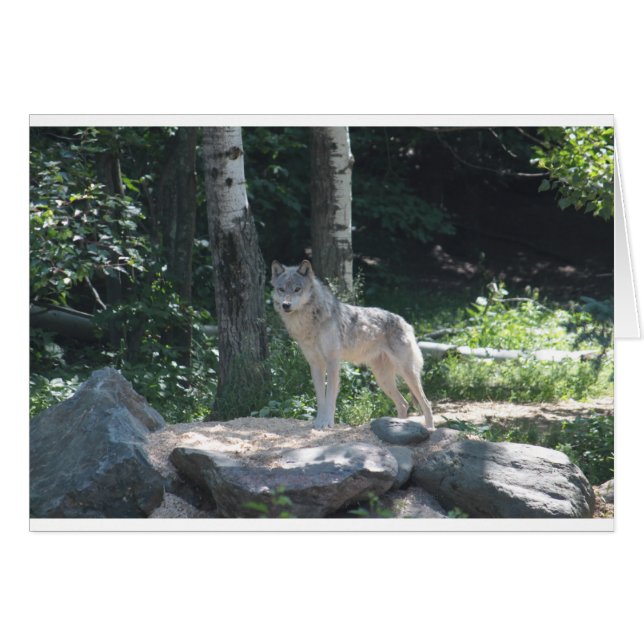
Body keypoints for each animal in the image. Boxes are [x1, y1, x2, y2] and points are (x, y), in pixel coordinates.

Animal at [271, 259, 434, 430]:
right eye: (281, 289)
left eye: (297, 289)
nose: (286, 305)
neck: (311, 321)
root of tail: (406, 323)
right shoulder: (316, 365)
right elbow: (320, 399)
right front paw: (318, 423)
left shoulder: (332, 363)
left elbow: (330, 398)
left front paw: (327, 423)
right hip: (383, 379)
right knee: (403, 403)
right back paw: (398, 426)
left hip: (407, 374)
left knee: (426, 403)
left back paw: (430, 428)